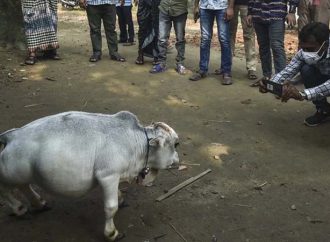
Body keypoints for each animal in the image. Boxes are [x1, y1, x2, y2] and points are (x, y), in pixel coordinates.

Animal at [0, 111, 179, 240]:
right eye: (176, 144)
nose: (178, 160)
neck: (137, 142)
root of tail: (11, 135)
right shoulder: (108, 175)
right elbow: (111, 207)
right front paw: (111, 233)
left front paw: (121, 197)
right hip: (9, 176)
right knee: (6, 191)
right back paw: (19, 208)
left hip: (23, 175)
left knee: (24, 186)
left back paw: (39, 203)